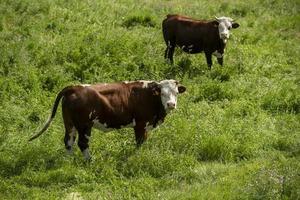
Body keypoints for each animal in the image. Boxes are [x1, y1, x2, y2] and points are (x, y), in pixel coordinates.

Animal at [29, 79, 186, 159]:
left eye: (176, 93)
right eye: (163, 93)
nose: (171, 104)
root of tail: (74, 87)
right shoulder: (140, 124)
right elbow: (140, 142)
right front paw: (138, 156)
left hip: (69, 123)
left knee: (68, 141)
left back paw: (68, 161)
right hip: (84, 125)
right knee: (82, 143)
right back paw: (89, 161)